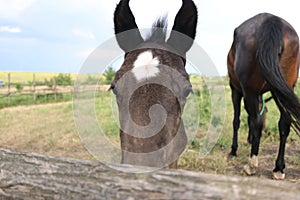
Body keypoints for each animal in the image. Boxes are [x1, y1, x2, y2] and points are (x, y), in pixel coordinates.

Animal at [227, 12, 300, 180]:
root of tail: (272, 20)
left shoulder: (236, 89)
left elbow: (237, 121)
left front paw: (234, 150)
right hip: (283, 88)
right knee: (284, 124)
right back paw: (278, 168)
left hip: (250, 90)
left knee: (257, 122)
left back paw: (251, 165)